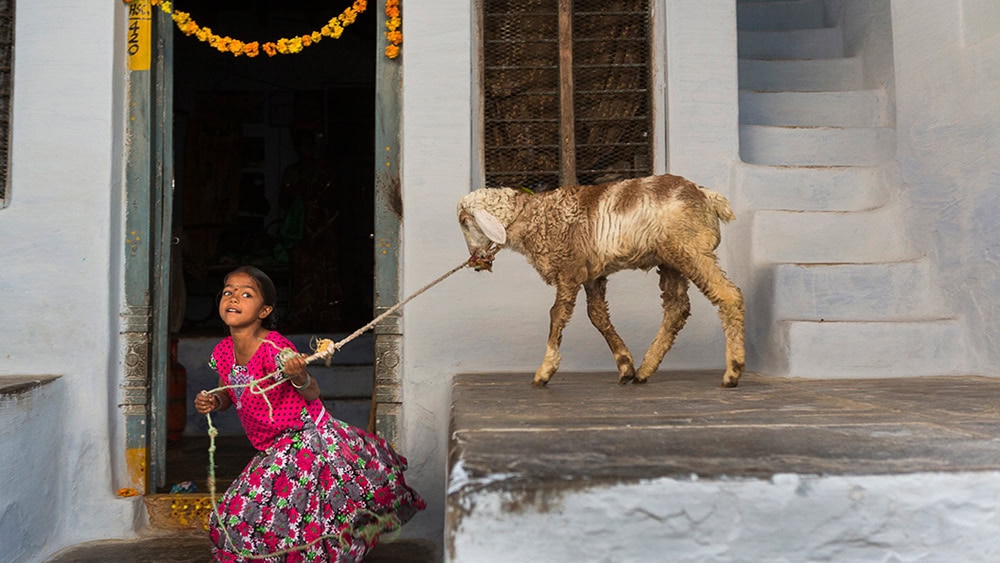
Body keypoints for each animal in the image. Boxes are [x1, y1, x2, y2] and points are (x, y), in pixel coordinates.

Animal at [458, 174, 748, 390]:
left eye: (463, 222)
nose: (474, 259)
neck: (535, 216)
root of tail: (708, 197)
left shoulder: (569, 269)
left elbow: (557, 315)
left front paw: (545, 371)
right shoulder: (592, 275)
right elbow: (597, 315)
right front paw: (625, 365)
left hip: (691, 250)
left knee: (728, 295)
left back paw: (732, 372)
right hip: (671, 260)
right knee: (677, 308)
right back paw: (644, 370)